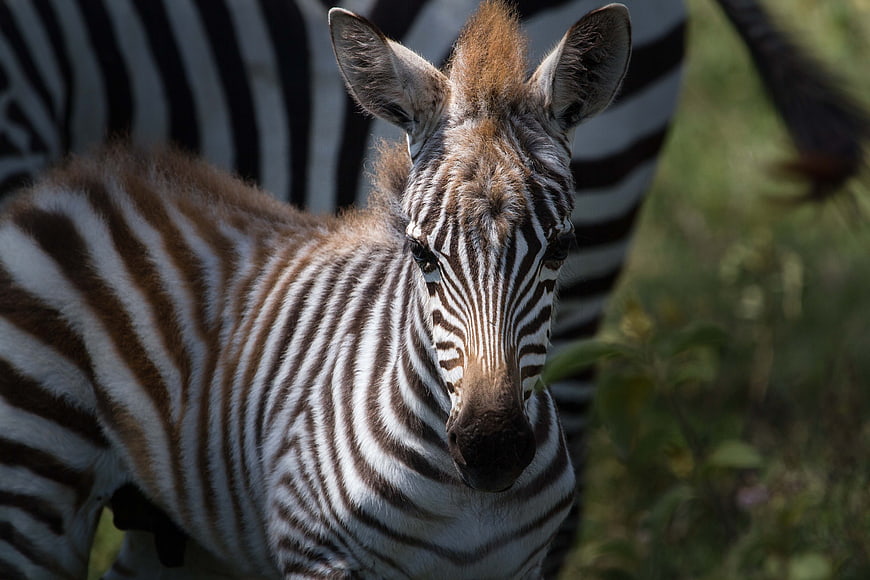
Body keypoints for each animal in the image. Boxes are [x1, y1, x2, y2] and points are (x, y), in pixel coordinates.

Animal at [0, 0, 865, 576]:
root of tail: (91, 173)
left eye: (560, 247)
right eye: (421, 255)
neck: (463, 506)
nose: (492, 450)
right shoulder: (318, 557)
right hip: (36, 481)